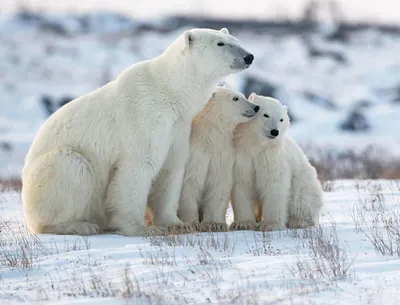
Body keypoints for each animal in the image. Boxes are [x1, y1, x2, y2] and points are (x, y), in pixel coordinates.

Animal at [177, 85, 260, 230]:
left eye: (243, 95)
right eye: (235, 98)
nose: (256, 107)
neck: (208, 137)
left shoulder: (221, 155)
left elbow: (218, 184)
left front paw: (214, 224)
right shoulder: (195, 156)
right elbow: (190, 184)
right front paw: (192, 223)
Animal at [230, 93, 324, 230]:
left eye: (281, 119)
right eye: (266, 115)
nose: (274, 131)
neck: (257, 145)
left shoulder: (271, 157)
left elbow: (274, 184)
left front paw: (270, 225)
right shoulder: (243, 156)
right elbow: (242, 184)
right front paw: (243, 224)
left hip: (304, 181)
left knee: (302, 199)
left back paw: (298, 221)